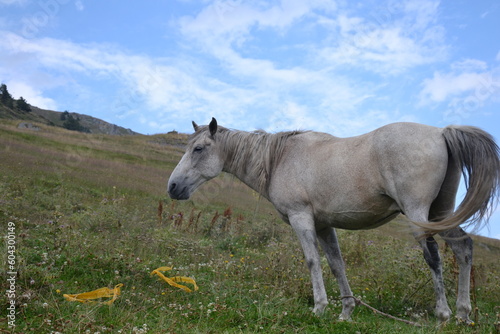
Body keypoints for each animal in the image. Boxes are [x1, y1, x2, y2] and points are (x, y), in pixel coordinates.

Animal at [168, 117, 500, 324]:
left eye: (198, 149)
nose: (172, 187)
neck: (279, 158)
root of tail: (441, 132)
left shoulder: (302, 218)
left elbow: (312, 261)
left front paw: (320, 307)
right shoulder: (324, 225)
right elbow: (336, 264)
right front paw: (346, 311)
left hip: (419, 214)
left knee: (433, 256)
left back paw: (443, 314)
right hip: (439, 215)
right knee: (464, 248)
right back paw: (463, 313)